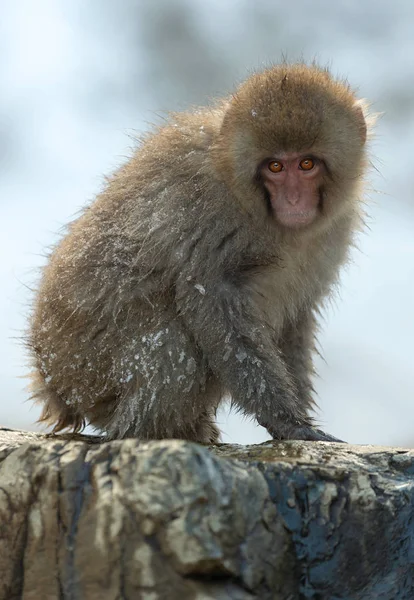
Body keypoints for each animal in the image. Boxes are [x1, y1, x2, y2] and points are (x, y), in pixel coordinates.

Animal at [26, 63, 372, 442]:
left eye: (307, 164)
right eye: (275, 167)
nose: (294, 201)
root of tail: (50, 384)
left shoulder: (335, 228)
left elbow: (296, 317)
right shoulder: (212, 213)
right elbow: (211, 301)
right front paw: (287, 420)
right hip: (89, 372)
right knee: (170, 340)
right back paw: (143, 431)